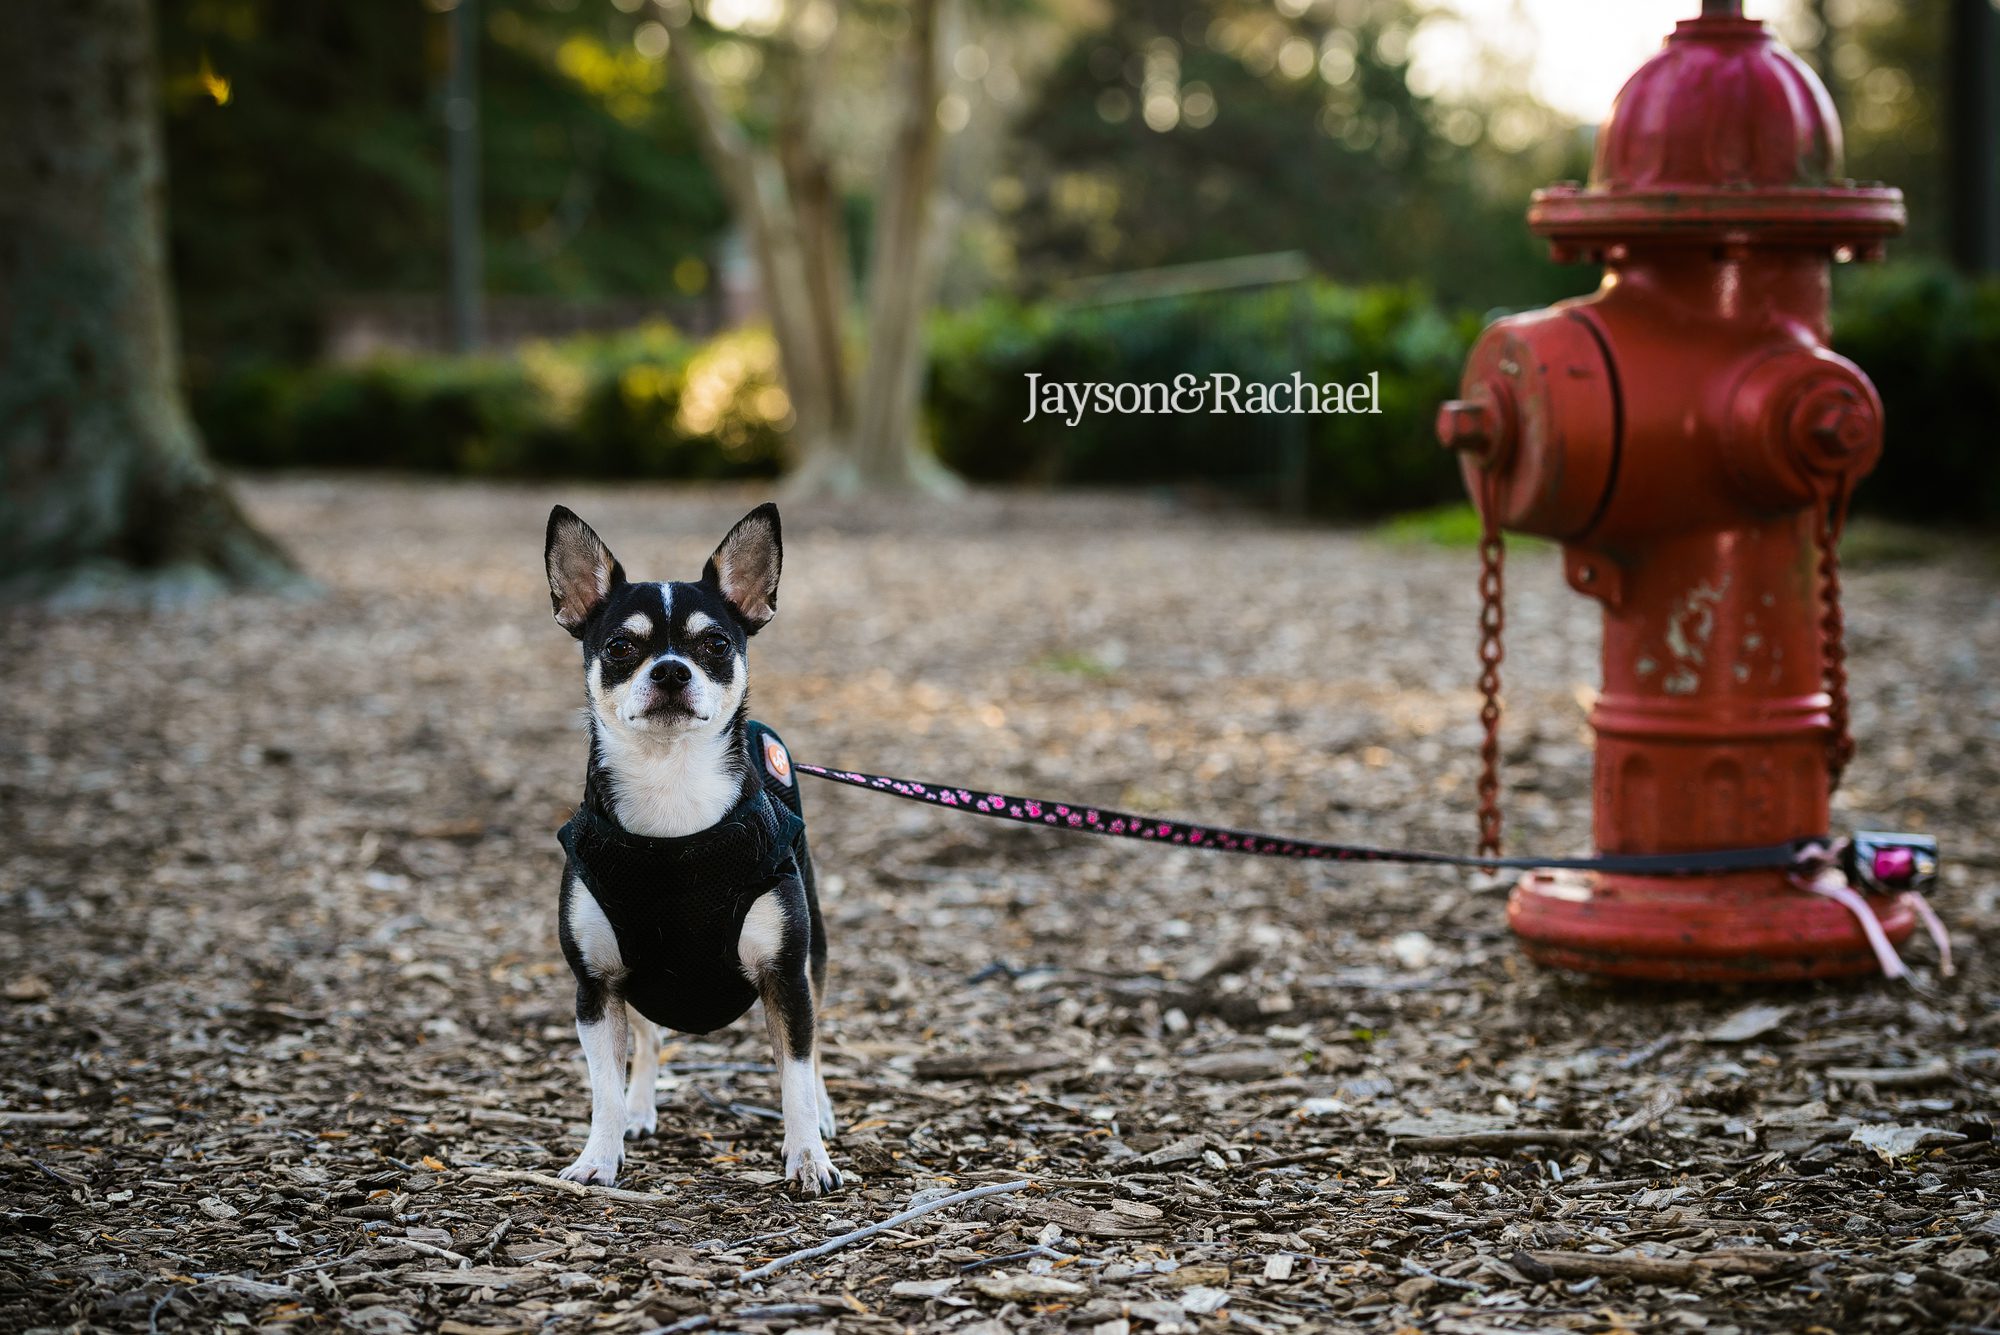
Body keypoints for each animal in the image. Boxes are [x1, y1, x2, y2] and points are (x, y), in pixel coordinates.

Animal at [540, 505, 836, 1191]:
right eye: (621, 647)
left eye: (716, 645)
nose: (672, 669)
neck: (672, 798)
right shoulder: (596, 987)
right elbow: (603, 1085)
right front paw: (599, 1155)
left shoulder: (785, 976)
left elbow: (795, 1074)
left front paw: (808, 1157)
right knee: (647, 1042)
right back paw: (639, 1112)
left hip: (813, 952)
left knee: (811, 1050)